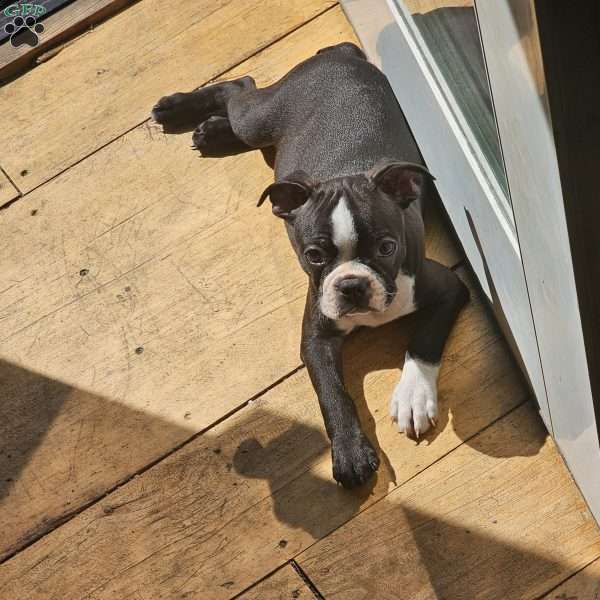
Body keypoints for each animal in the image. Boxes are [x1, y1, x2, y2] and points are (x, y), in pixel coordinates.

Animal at [151, 44, 468, 490]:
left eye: (388, 247)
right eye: (313, 255)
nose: (352, 286)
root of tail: (338, 52)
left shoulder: (448, 288)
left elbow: (423, 339)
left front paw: (413, 396)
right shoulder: (316, 335)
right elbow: (332, 393)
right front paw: (350, 452)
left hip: (259, 119)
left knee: (242, 88)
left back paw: (209, 130)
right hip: (261, 120)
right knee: (240, 87)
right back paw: (187, 114)